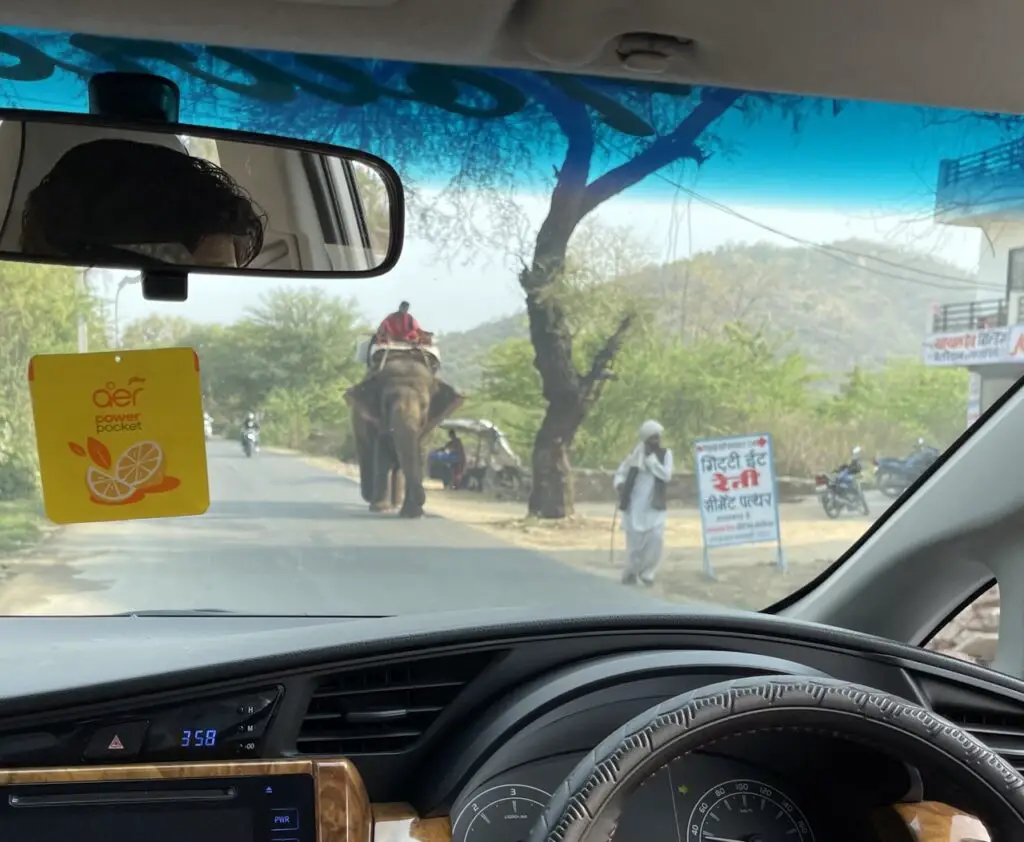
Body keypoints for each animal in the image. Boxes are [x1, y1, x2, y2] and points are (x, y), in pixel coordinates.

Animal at [344, 352, 464, 518]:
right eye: (387, 403)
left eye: (424, 405)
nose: (422, 498)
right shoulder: (379, 420)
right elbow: (383, 454)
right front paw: (381, 509)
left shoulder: (429, 426)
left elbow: (420, 454)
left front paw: (413, 514)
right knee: (367, 452)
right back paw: (374, 499)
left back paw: (396, 504)